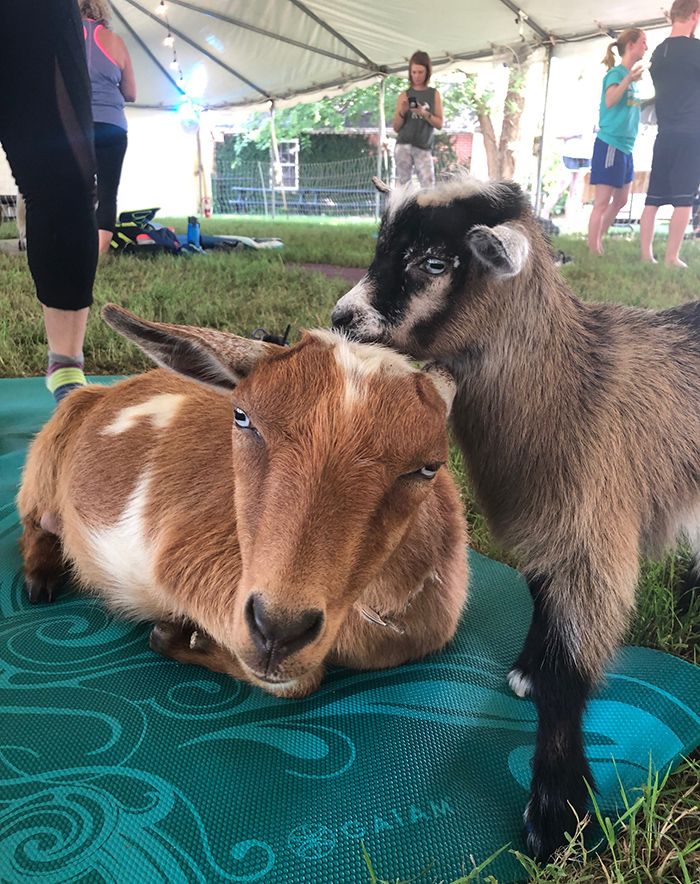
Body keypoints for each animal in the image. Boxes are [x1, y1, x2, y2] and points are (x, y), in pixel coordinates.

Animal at [18, 305, 468, 699]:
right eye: (242, 416)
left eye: (428, 467)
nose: (277, 632)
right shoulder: (189, 563)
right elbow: (301, 681)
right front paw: (180, 636)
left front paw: (185, 638)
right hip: (46, 453)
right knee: (34, 521)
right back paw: (40, 577)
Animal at [331, 176, 700, 858]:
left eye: (435, 262)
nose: (343, 317)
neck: (571, 384)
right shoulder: (539, 527)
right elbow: (540, 601)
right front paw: (528, 667)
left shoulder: (592, 536)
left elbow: (569, 673)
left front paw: (557, 814)